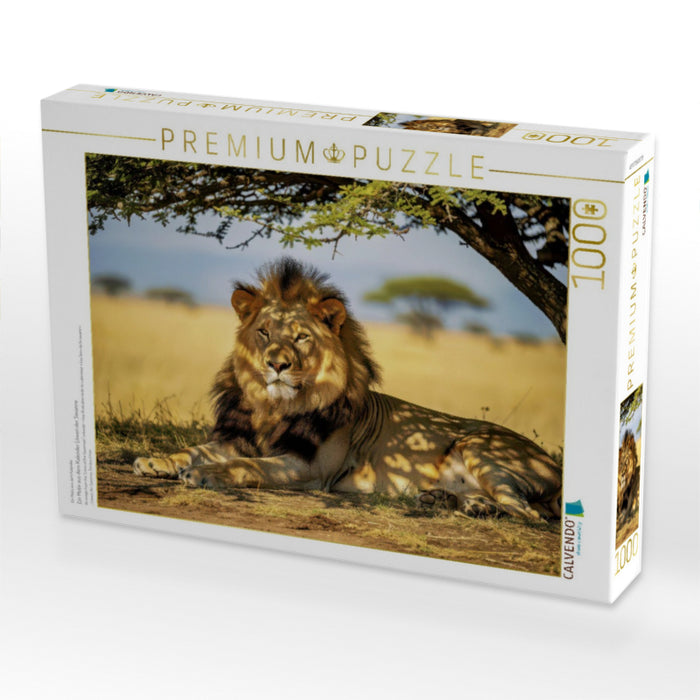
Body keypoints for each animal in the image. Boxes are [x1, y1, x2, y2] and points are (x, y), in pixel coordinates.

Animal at [134, 258, 562, 521]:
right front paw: (156, 461)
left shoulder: (308, 467)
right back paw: (447, 500)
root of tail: (556, 465)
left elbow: (247, 466)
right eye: (264, 332)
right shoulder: (237, 438)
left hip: (480, 447)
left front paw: (205, 474)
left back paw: (475, 509)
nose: (276, 364)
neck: (273, 407)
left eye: (301, 337)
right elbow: (194, 449)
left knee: (530, 513)